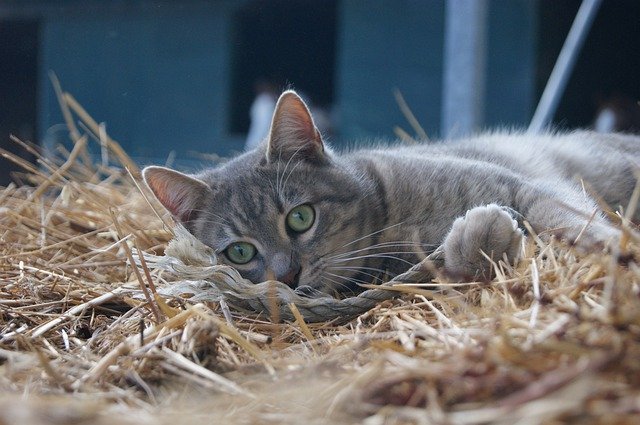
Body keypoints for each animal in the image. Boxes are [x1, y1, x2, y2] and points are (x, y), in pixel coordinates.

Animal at [141, 89, 640, 294]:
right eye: (239, 253)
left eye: (300, 217)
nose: (287, 276)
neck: (389, 220)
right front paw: (479, 239)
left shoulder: (523, 186)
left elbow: (567, 217)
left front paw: (610, 244)